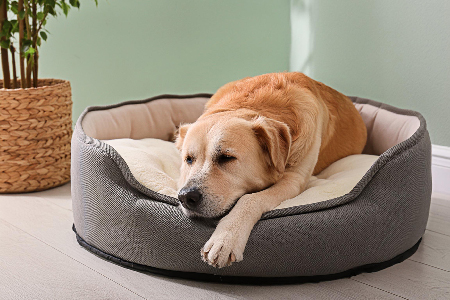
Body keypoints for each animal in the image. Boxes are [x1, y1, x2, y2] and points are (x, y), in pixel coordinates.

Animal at [174, 72, 368, 268]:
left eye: (226, 157)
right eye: (189, 159)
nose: (186, 197)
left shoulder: (293, 180)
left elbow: (250, 199)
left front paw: (226, 238)